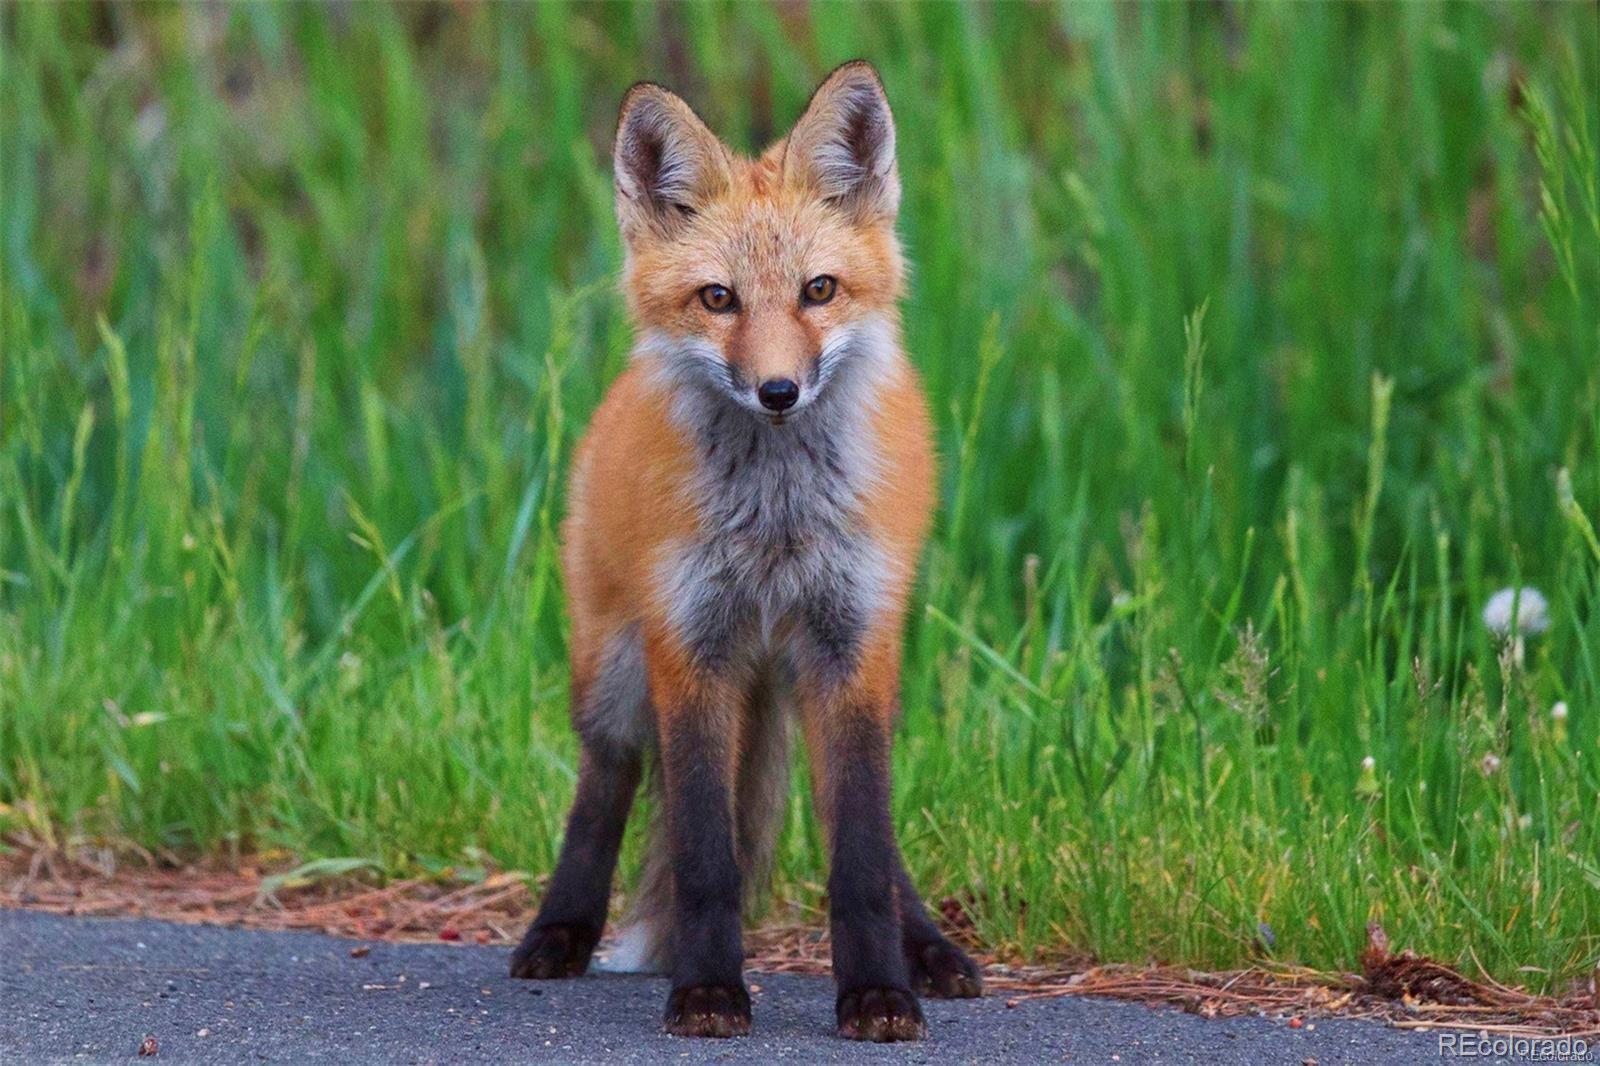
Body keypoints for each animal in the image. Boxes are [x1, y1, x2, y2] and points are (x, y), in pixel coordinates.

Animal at [518, 60, 979, 1037]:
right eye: (718, 299)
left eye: (820, 290)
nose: (778, 391)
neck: (778, 523)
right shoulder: (690, 648)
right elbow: (704, 859)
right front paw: (708, 991)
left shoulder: (852, 647)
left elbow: (862, 856)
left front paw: (879, 993)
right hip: (616, 670)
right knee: (604, 785)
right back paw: (559, 932)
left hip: (831, 676)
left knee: (871, 839)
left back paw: (930, 951)